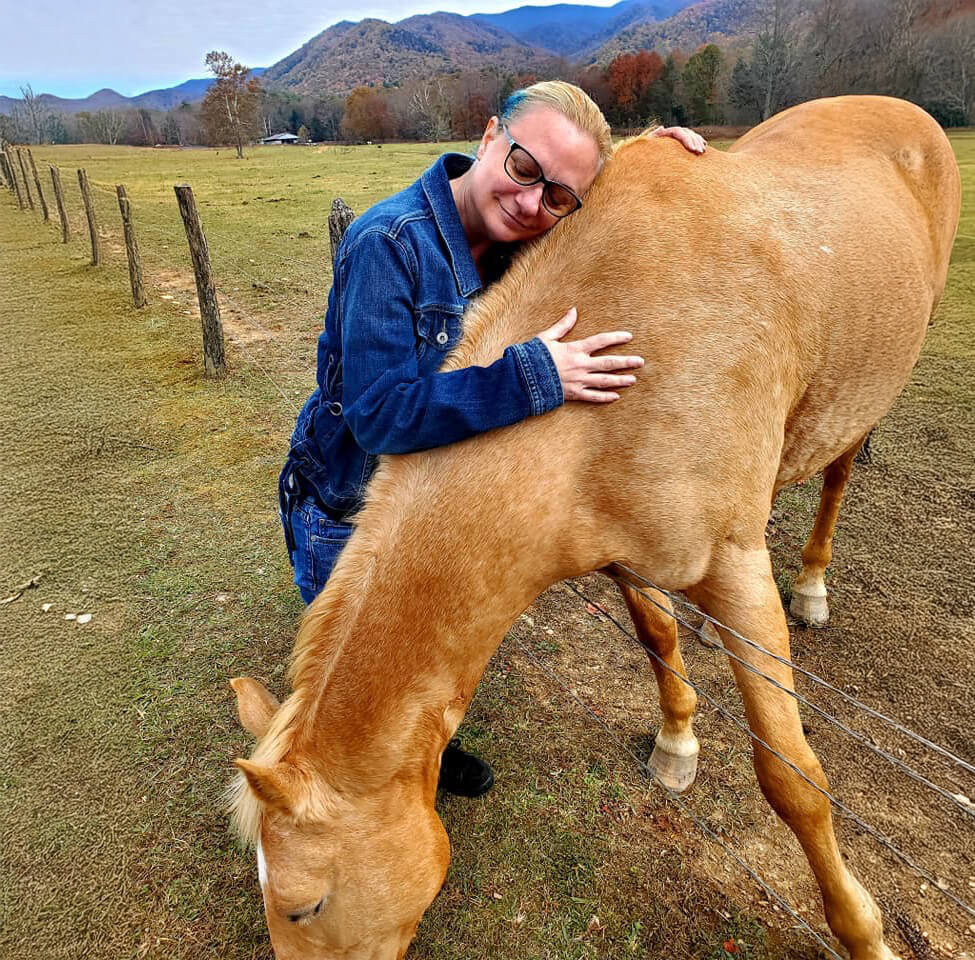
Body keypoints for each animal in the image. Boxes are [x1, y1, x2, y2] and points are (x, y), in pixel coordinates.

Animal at [229, 99, 960, 960]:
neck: (626, 353)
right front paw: (677, 744)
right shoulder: (626, 557)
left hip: (866, 393)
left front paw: (862, 933)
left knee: (837, 476)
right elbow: (658, 639)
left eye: (303, 905)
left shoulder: (733, 564)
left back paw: (811, 586)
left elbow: (793, 779)